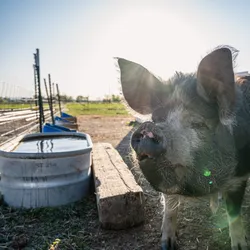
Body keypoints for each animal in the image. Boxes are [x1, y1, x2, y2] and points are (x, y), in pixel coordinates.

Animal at [116, 46, 249, 249]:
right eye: (157, 119)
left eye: (198, 123)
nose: (149, 128)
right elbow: (170, 208)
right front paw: (167, 244)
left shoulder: (240, 177)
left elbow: (234, 214)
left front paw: (241, 246)